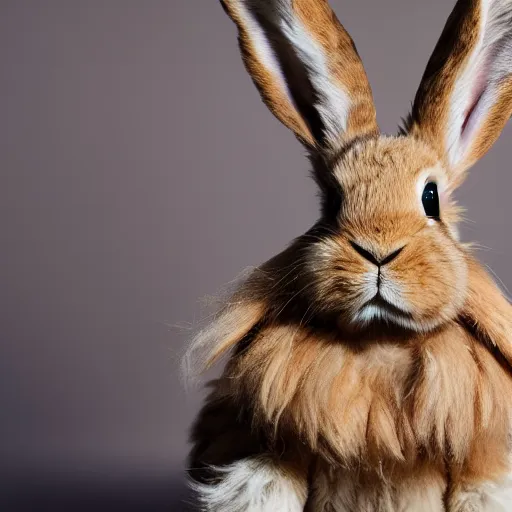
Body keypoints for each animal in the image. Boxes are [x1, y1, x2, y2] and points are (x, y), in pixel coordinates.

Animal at [184, 0, 512, 510]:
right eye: (334, 202)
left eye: (431, 198)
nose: (378, 251)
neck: (381, 343)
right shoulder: (266, 451)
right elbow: (264, 484)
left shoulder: (483, 459)